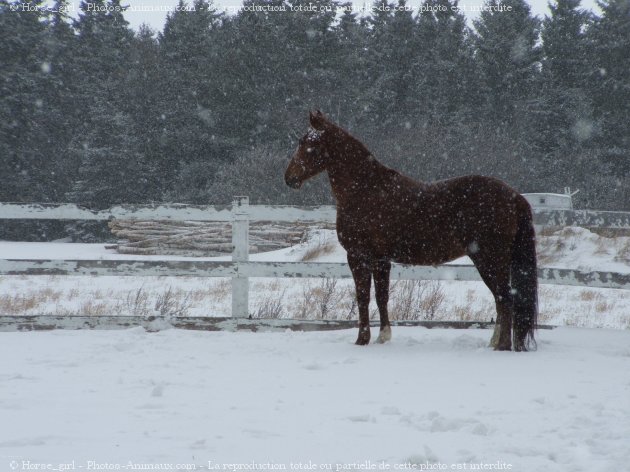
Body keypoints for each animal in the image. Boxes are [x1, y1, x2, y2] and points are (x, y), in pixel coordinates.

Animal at [286, 110, 540, 350]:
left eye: (307, 143)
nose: (289, 178)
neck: (366, 189)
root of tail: (514, 196)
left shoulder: (358, 256)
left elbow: (362, 297)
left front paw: (362, 340)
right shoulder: (381, 259)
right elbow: (381, 296)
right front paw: (383, 337)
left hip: (489, 259)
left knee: (505, 299)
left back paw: (502, 347)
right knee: (501, 301)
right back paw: (494, 343)